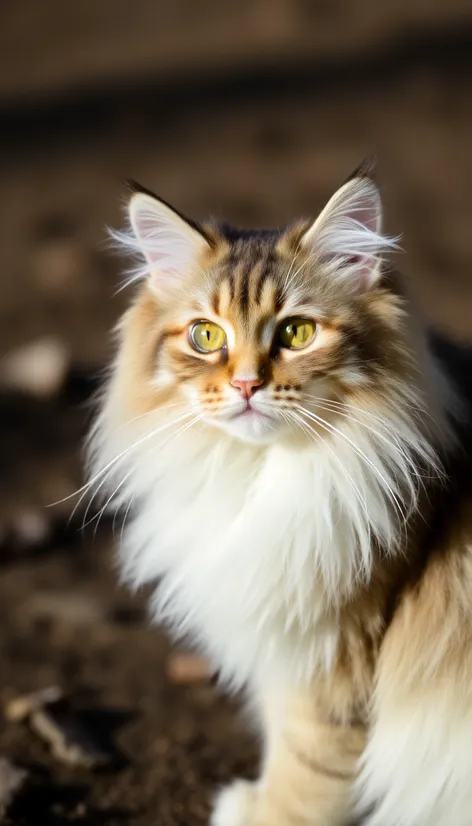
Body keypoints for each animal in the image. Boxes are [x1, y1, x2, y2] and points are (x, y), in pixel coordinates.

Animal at [86, 156, 472, 824]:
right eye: (206, 337)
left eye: (295, 333)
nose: (245, 385)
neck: (260, 474)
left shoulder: (332, 658)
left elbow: (306, 771)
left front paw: (257, 811)